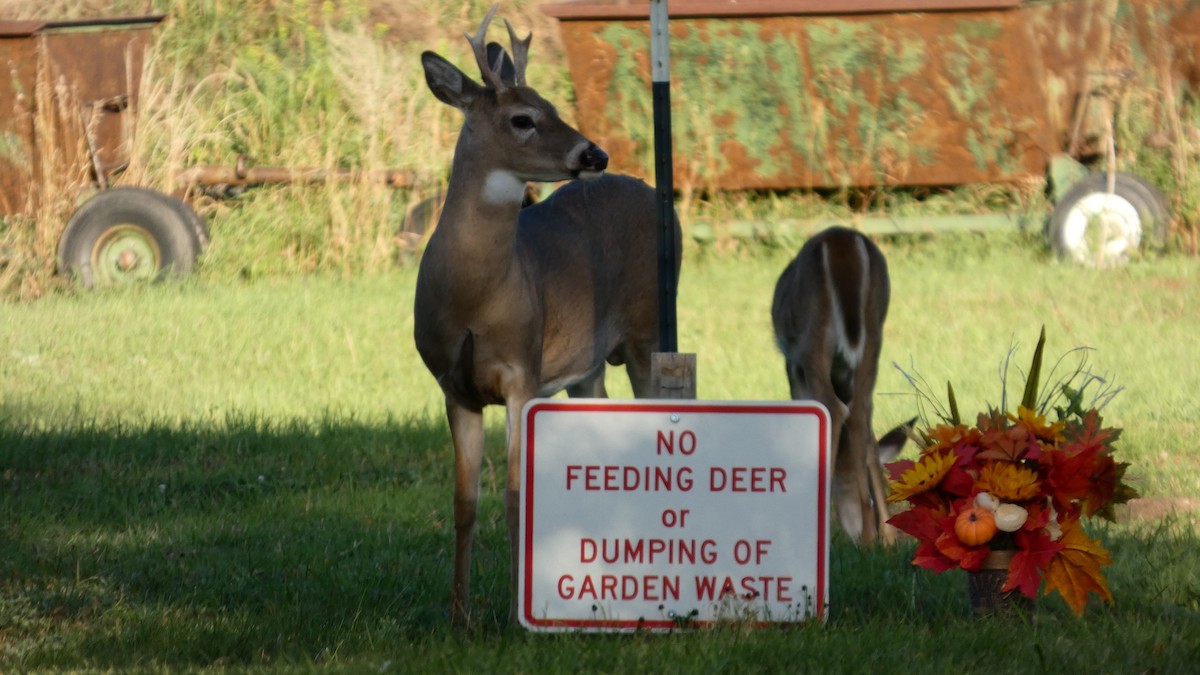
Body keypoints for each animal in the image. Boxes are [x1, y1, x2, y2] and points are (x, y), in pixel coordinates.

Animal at [413, 5, 681, 627]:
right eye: (523, 118)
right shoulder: (452, 385)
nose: (595, 155)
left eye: (555, 107)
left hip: (651, 332)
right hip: (589, 367)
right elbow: (464, 502)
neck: (472, 299)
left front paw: (516, 612)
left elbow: (516, 496)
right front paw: (458, 615)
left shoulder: (522, 372)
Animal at [771, 226, 909, 547]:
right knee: (861, 411)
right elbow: (870, 439)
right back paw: (878, 536)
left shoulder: (793, 364)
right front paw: (885, 535)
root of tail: (844, 240)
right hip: (874, 333)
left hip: (814, 335)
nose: (855, 529)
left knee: (833, 408)